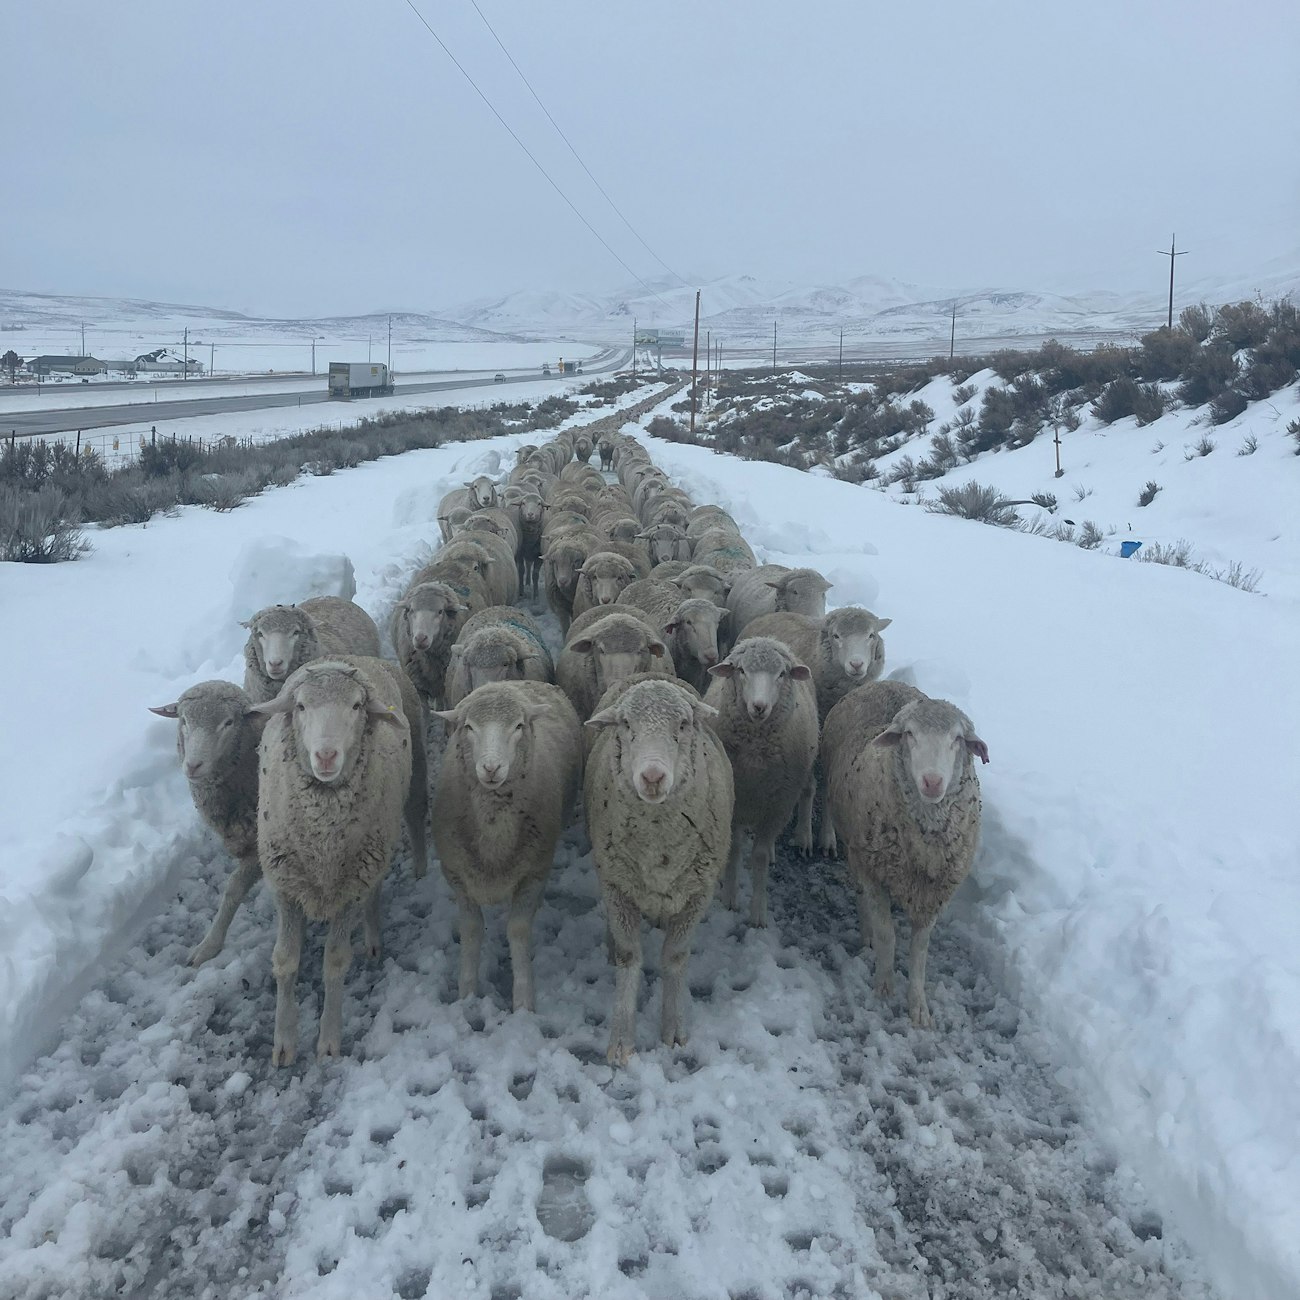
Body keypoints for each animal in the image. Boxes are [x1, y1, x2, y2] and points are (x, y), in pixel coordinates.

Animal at [251, 656, 418, 1063]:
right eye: (300, 706)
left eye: (357, 706)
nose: (326, 756)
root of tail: (356, 658)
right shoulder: (285, 885)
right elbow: (285, 961)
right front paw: (284, 1040)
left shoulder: (351, 889)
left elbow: (336, 962)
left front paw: (328, 1038)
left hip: (375, 854)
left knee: (374, 895)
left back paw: (373, 936)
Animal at [432, 681, 583, 1011]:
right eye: (469, 727)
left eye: (518, 726)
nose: (491, 768)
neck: (493, 835)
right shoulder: (458, 876)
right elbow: (472, 930)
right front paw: (467, 994)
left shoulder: (533, 872)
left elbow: (518, 929)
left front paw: (524, 1001)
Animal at [584, 678, 735, 1065]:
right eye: (626, 725)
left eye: (682, 724)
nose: (652, 776)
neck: (658, 846)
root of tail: (649, 671)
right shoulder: (617, 885)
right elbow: (629, 956)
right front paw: (621, 1041)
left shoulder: (698, 892)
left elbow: (675, 957)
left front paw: (674, 1030)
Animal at [704, 638, 819, 926]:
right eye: (741, 670)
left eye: (781, 674)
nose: (759, 707)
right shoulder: (735, 801)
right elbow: (734, 848)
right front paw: (729, 897)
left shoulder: (777, 806)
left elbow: (760, 855)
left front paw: (758, 912)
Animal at [822, 681, 989, 1027]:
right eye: (909, 734)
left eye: (957, 738)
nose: (932, 781)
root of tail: (883, 683)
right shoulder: (874, 871)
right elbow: (888, 935)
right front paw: (884, 989)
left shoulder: (934, 893)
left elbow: (919, 951)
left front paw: (918, 1006)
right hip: (857, 848)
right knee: (862, 895)